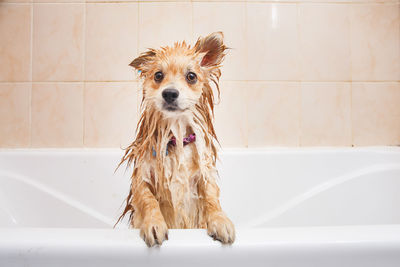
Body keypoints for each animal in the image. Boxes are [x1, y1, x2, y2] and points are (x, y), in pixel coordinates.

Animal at [117, 31, 236, 247]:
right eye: (158, 75)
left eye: (191, 76)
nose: (170, 93)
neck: (177, 136)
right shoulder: (142, 179)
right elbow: (149, 201)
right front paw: (154, 223)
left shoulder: (203, 176)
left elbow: (212, 198)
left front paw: (220, 220)